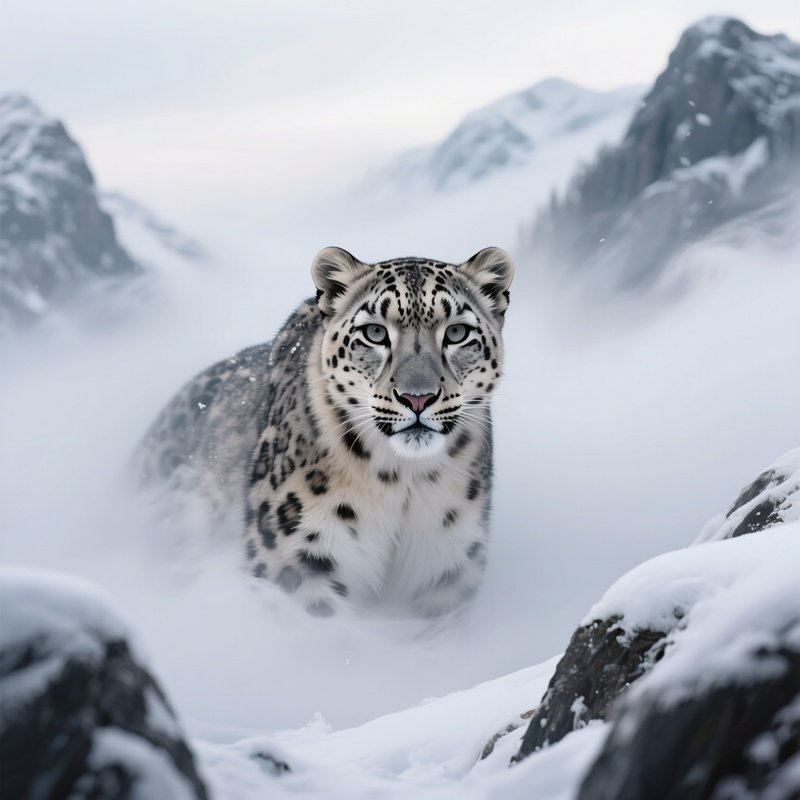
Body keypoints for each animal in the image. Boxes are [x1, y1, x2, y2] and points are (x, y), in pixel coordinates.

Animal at [134, 246, 514, 618]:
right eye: (375, 333)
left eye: (457, 333)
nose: (417, 397)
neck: (403, 483)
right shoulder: (293, 559)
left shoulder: (447, 566)